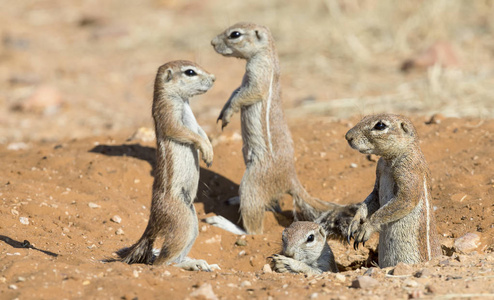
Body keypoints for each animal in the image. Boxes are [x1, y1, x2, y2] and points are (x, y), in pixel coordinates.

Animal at [116, 61, 219, 272]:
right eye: (190, 72)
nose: (214, 78)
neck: (183, 101)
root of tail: (153, 219)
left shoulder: (194, 122)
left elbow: (201, 131)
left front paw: (210, 150)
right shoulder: (167, 113)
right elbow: (184, 132)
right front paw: (206, 150)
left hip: (192, 219)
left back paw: (199, 262)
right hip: (183, 222)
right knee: (161, 263)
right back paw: (190, 265)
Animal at [206, 22, 338, 236]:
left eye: (235, 34)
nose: (212, 42)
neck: (267, 53)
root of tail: (290, 178)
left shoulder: (258, 74)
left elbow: (246, 94)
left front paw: (228, 113)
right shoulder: (243, 80)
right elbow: (235, 91)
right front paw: (223, 112)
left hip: (252, 181)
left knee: (254, 231)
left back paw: (224, 223)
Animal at [346, 114, 442, 268]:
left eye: (380, 125)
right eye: (364, 117)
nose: (347, 136)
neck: (388, 161)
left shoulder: (409, 169)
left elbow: (406, 199)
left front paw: (366, 227)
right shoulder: (378, 171)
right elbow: (371, 199)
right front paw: (355, 222)